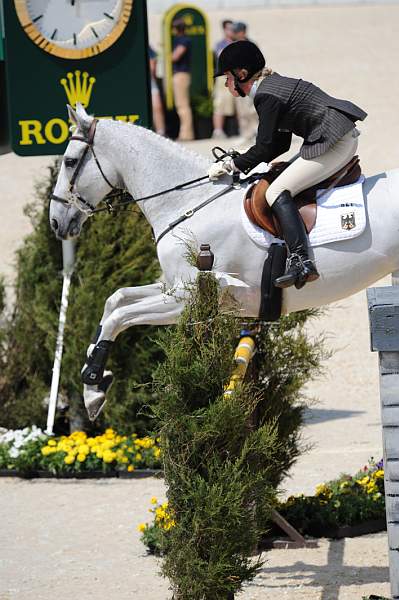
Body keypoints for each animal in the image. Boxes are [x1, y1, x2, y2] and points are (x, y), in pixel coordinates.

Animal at [50, 104, 399, 418]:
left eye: (69, 162)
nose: (55, 223)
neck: (188, 202)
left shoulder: (190, 298)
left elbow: (119, 316)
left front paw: (93, 383)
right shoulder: (173, 287)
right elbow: (115, 300)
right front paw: (93, 384)